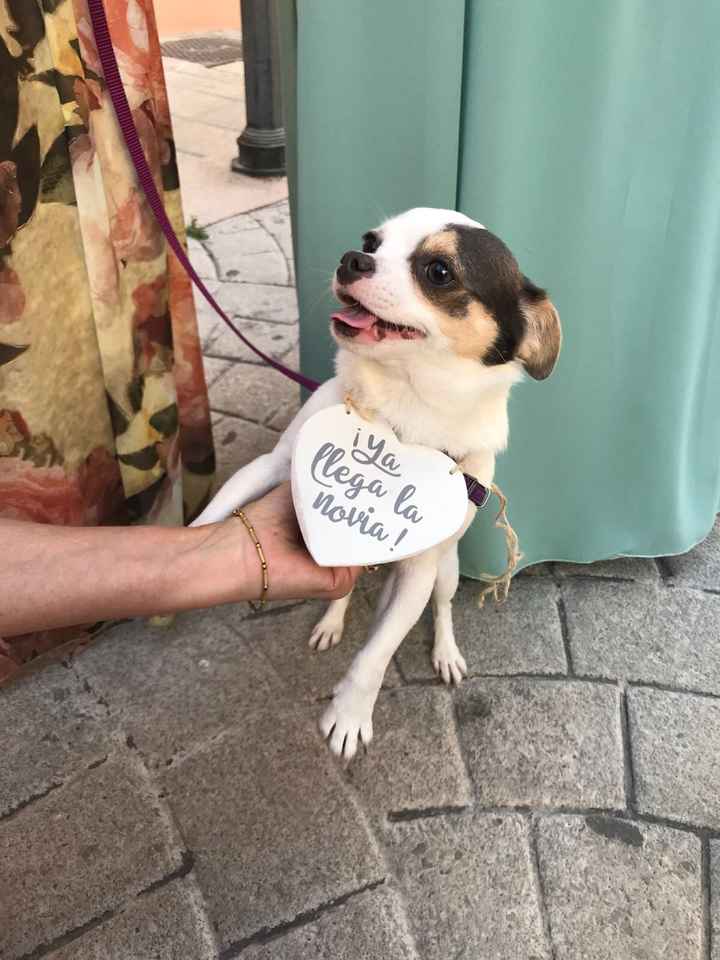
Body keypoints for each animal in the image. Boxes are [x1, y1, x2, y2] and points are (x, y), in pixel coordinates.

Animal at [193, 208, 564, 756]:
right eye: (371, 242)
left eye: (439, 271)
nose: (352, 259)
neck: (394, 412)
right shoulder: (269, 467)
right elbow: (214, 513)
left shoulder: (418, 570)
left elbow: (377, 653)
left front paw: (349, 714)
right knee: (342, 591)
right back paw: (332, 620)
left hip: (446, 571)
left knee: (443, 609)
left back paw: (445, 652)